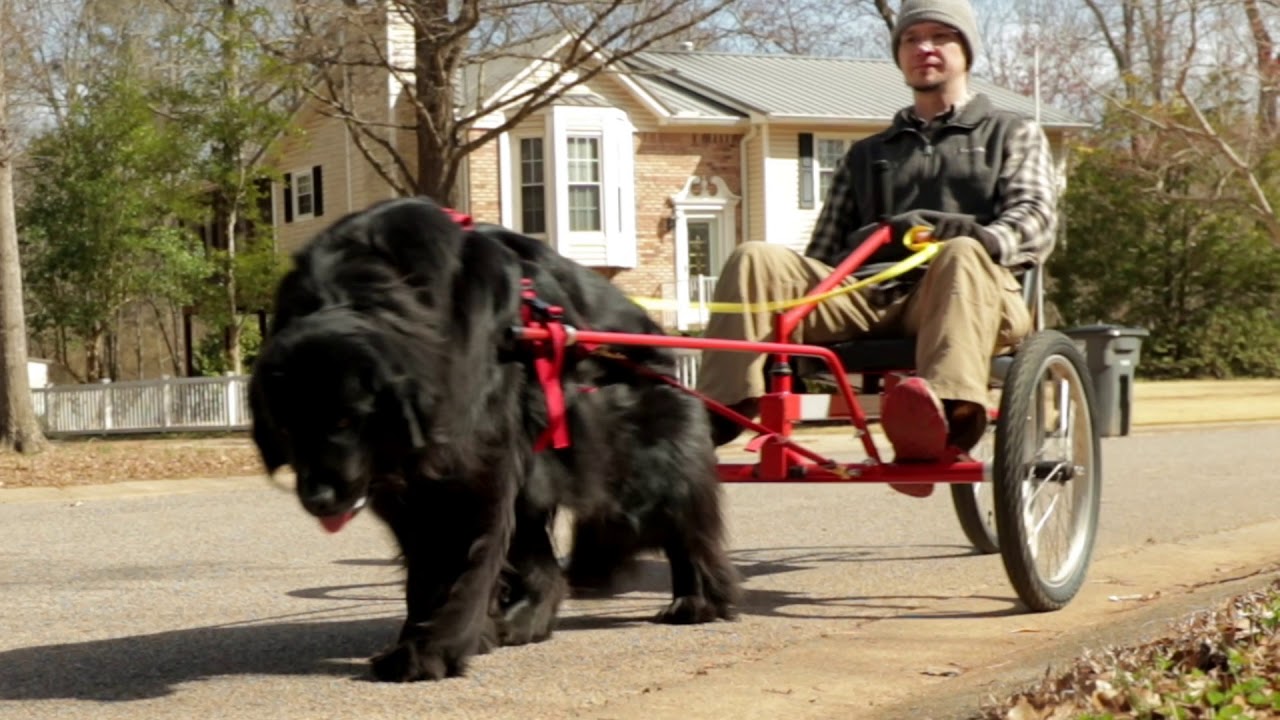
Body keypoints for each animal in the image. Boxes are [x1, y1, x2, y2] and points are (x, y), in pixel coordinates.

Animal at [247, 194, 742, 676]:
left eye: (348, 422)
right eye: (287, 427)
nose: (319, 499)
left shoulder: (470, 468)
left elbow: (456, 558)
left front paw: (427, 651)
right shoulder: (408, 484)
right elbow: (426, 564)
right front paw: (437, 636)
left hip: (638, 458)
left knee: (681, 520)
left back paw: (697, 601)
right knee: (544, 559)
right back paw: (524, 621)